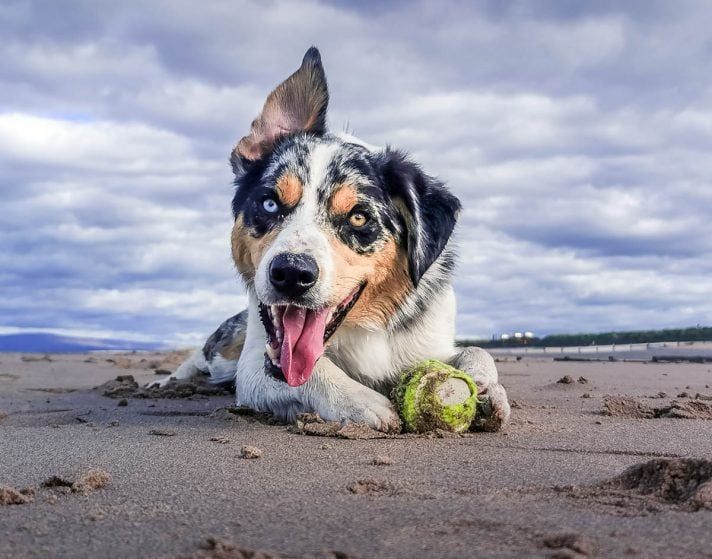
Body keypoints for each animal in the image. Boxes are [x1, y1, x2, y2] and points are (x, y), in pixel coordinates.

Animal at [150, 47, 508, 434]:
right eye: (270, 203)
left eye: (359, 217)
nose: (292, 274)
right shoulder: (254, 368)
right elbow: (307, 370)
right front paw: (363, 401)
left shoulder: (431, 343)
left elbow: (477, 351)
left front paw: (485, 387)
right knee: (200, 356)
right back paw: (167, 382)